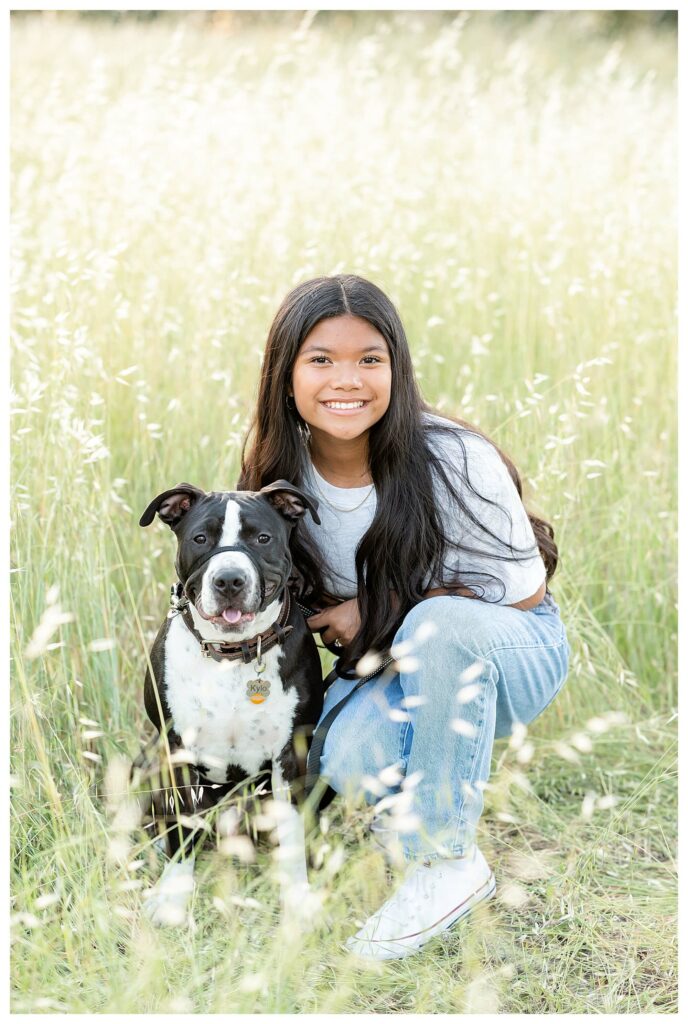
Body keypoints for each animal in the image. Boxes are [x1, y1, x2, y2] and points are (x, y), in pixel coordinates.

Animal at [135, 479, 327, 929]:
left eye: (263, 538)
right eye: (200, 538)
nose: (229, 580)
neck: (232, 656)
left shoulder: (291, 755)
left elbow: (292, 834)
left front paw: (297, 899)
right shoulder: (178, 749)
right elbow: (183, 828)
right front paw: (173, 896)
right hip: (147, 760)